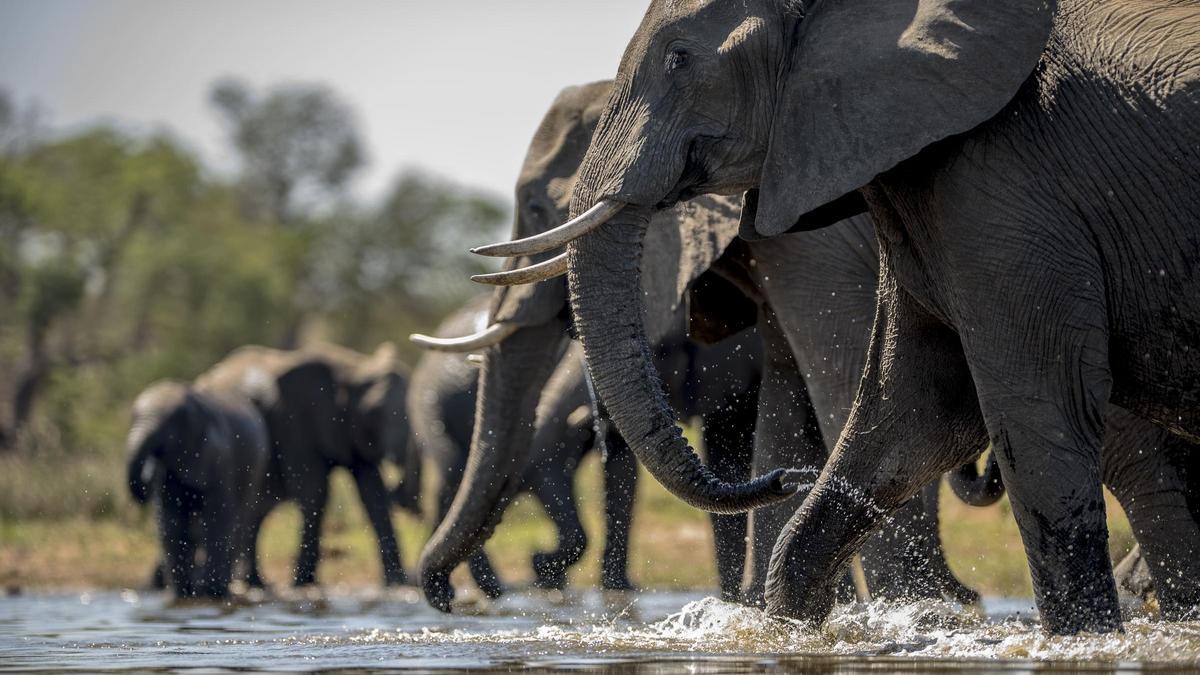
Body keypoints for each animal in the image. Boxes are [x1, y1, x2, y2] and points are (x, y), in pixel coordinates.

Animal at [125, 379, 268, 593]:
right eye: (132, 417)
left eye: (170, 424)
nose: (147, 474)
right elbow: (171, 520)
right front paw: (183, 592)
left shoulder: (219, 456)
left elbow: (218, 516)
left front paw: (212, 590)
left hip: (256, 469)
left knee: (239, 522)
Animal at [199, 338, 415, 586]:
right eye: (376, 412)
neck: (353, 368)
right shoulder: (296, 419)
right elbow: (314, 489)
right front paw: (303, 581)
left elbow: (373, 493)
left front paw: (397, 582)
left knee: (256, 510)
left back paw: (255, 582)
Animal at [417, 79, 979, 610]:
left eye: (536, 208)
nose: (448, 600)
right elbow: (781, 405)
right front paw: (757, 610)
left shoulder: (814, 247)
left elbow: (842, 380)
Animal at [484, 0, 1200, 634]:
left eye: (679, 59)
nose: (783, 483)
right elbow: (910, 412)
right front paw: (788, 626)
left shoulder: (1003, 190)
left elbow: (1029, 407)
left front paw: (1068, 639)